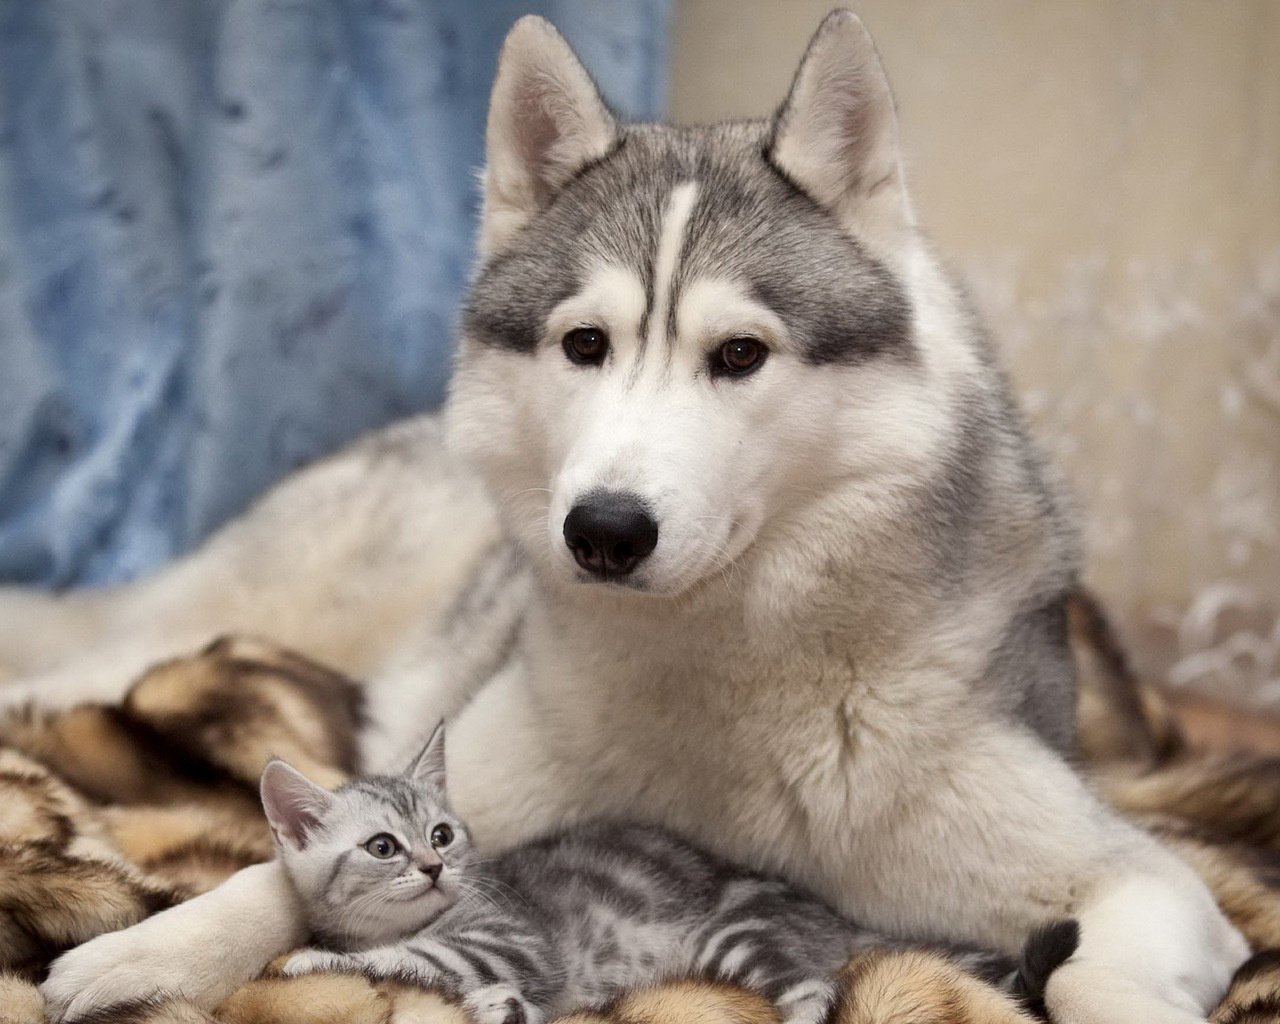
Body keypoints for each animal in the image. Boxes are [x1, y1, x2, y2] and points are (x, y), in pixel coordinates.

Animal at [262, 727, 1018, 1024]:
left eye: (442, 835)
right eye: (383, 846)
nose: (434, 865)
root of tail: (828, 916)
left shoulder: (509, 940)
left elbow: (412, 954)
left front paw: (309, 958)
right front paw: (497, 1009)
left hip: (738, 931)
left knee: (812, 990)